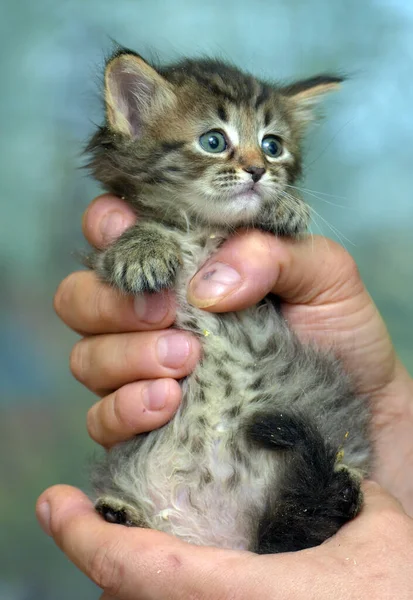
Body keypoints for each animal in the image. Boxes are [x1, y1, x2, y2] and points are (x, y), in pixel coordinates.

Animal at [86, 48, 370, 552]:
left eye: (273, 146)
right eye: (214, 141)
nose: (258, 171)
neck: (203, 229)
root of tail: (225, 537)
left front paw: (285, 206)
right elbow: (125, 244)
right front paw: (141, 249)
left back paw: (346, 489)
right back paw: (122, 512)